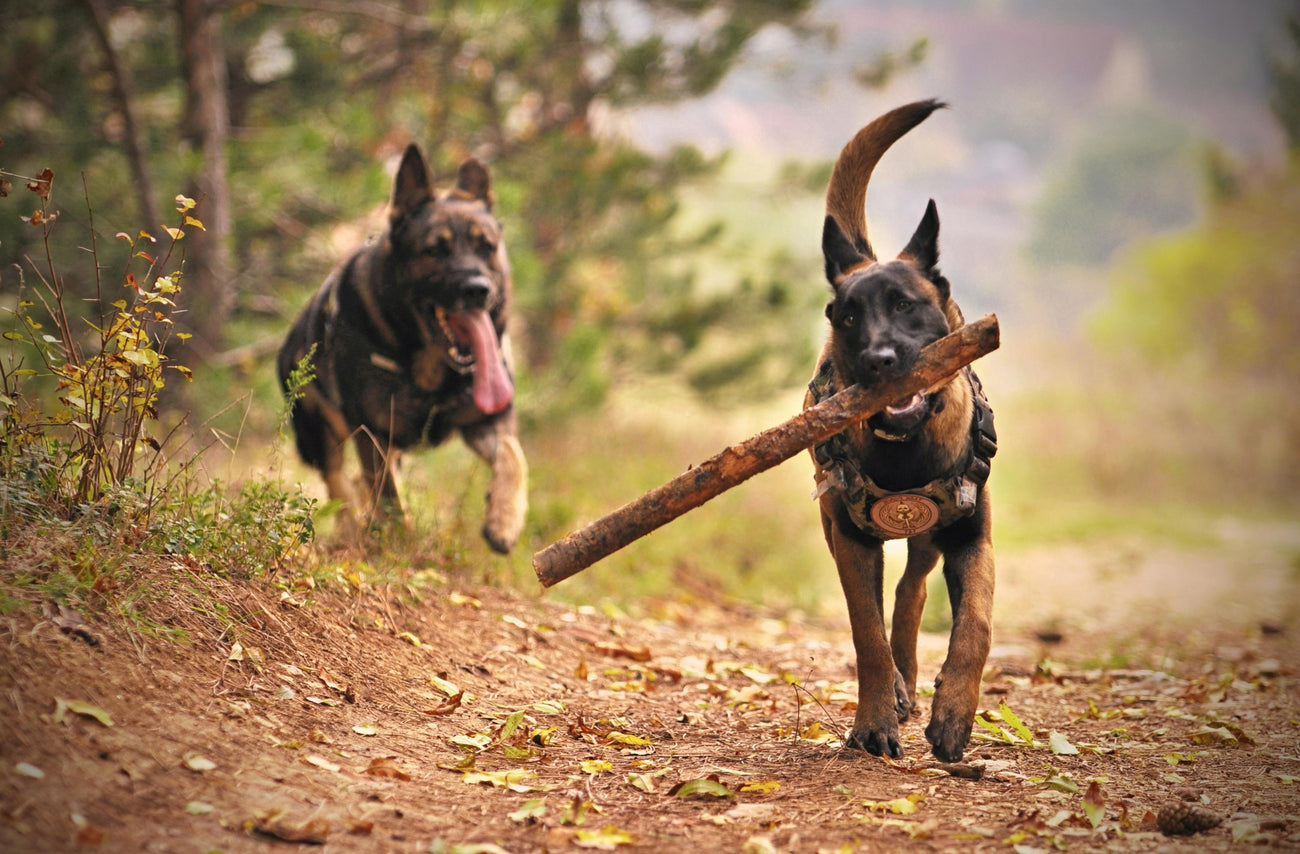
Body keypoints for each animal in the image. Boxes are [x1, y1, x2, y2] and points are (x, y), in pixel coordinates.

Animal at [276, 142, 525, 548]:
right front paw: (400, 545)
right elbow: (390, 499)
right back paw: (353, 533)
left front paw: (504, 519)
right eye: (435, 251)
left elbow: (513, 457)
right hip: (320, 438)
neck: (433, 370)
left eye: (486, 247)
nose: (478, 290)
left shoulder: (488, 422)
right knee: (339, 486)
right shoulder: (373, 435)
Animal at [806, 100, 998, 759]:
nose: (878, 361)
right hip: (833, 527)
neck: (905, 450)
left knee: (912, 591)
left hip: (931, 537)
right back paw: (895, 690)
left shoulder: (971, 537)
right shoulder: (850, 540)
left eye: (905, 305)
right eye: (848, 316)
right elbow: (865, 634)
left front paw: (955, 713)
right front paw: (873, 721)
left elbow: (975, 624)